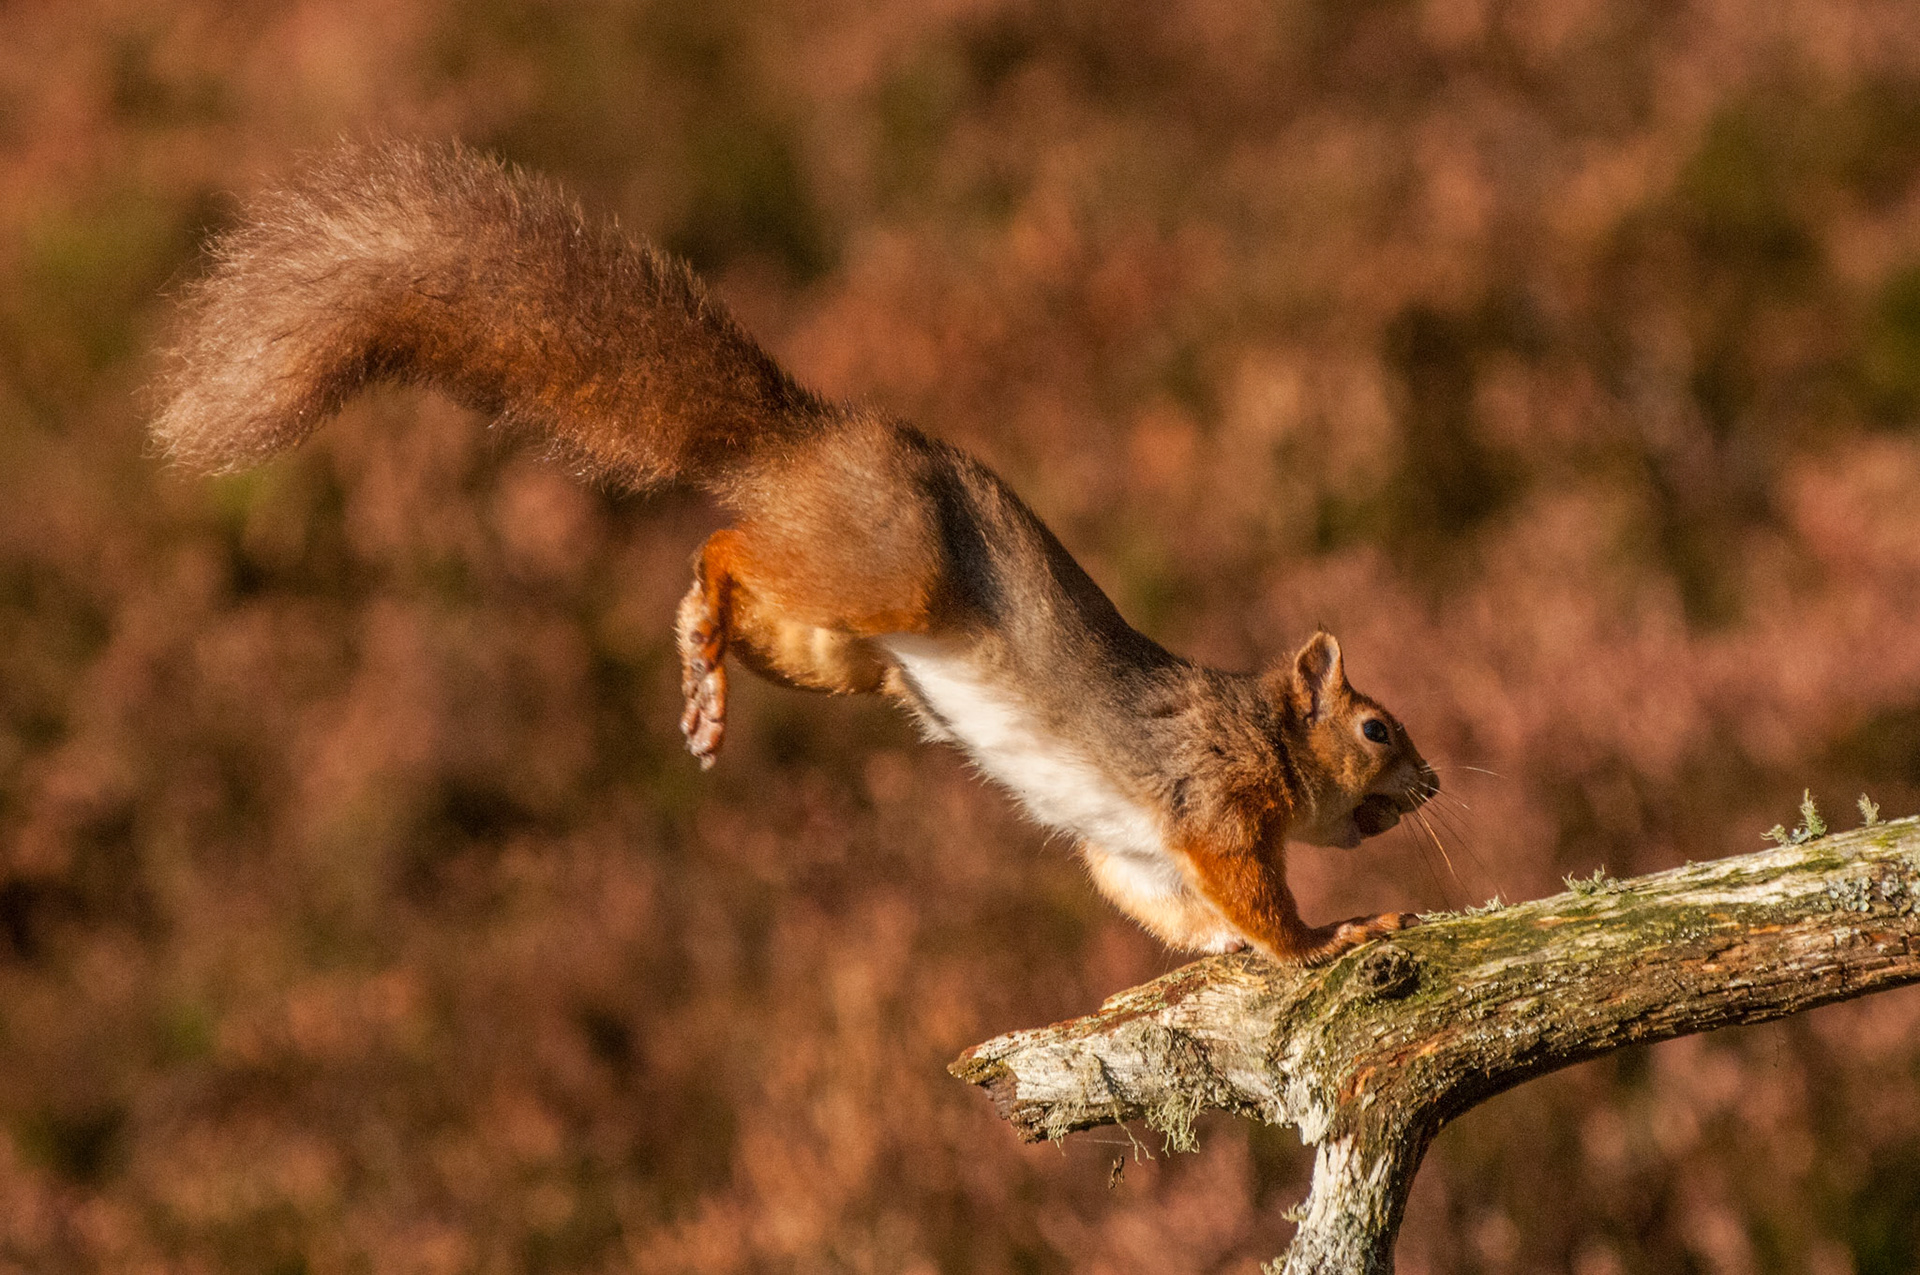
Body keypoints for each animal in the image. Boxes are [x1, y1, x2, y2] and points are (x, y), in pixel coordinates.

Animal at [151, 140, 1436, 965]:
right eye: (1378, 729)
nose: (1433, 785)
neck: (1259, 726)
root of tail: (795, 440)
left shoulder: (1141, 854)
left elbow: (1188, 913)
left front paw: (1246, 948)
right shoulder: (1213, 798)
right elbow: (1256, 899)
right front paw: (1332, 935)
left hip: (841, 650)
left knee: (735, 580)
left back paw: (702, 665)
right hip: (888, 571)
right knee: (722, 542)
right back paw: (700, 633)